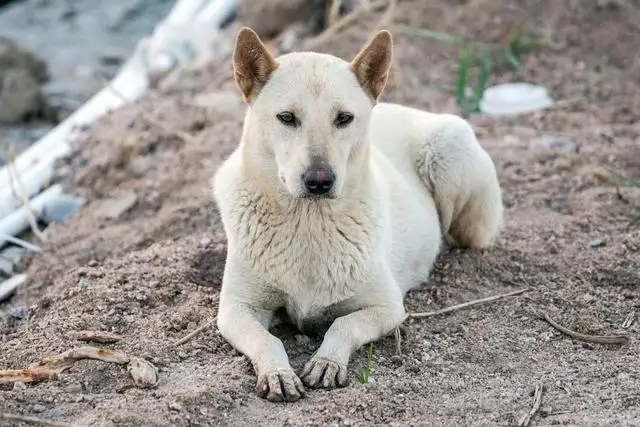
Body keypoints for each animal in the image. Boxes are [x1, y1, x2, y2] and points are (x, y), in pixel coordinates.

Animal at [212, 25, 502, 402]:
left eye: (344, 119)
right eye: (287, 118)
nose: (319, 181)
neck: (308, 221)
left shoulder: (387, 308)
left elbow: (342, 323)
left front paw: (328, 361)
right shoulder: (236, 309)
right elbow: (267, 338)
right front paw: (277, 372)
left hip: (448, 151)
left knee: (460, 235)